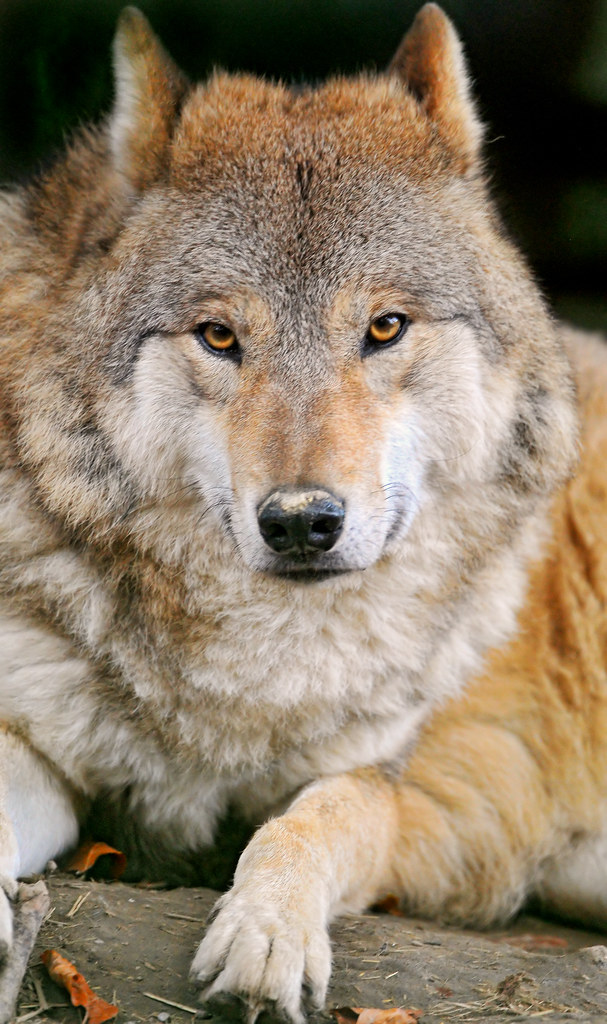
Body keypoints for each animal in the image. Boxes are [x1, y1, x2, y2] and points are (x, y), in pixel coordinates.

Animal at [0, 2, 605, 1021]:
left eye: (384, 328)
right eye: (218, 336)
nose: (298, 521)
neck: (259, 679)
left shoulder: (418, 795)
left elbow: (310, 818)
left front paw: (267, 932)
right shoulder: (37, 743)